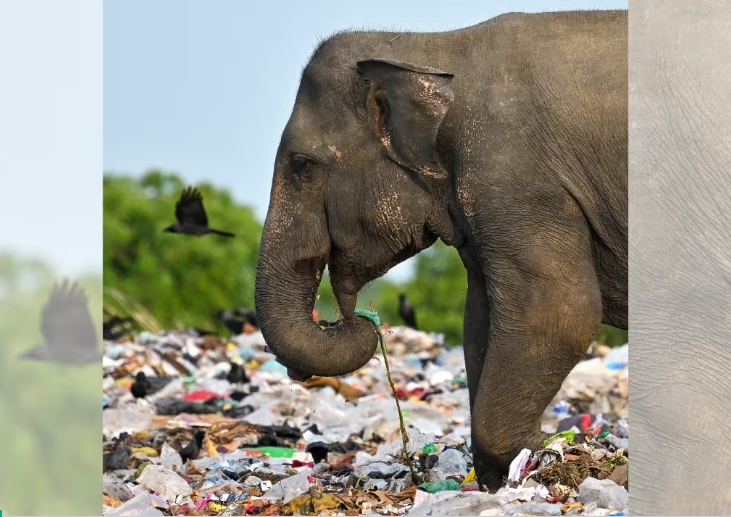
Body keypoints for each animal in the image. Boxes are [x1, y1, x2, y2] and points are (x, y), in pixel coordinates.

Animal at [255, 10, 627, 490]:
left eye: (303, 166)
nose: (359, 319)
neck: (432, 49)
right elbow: (480, 318)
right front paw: (506, 475)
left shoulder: (516, 179)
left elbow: (560, 311)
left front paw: (547, 451)